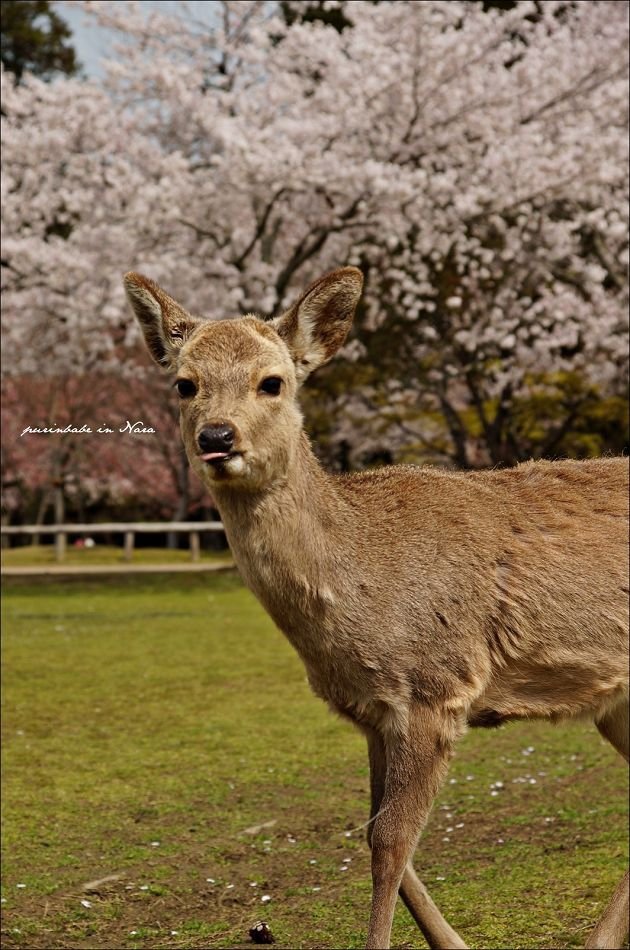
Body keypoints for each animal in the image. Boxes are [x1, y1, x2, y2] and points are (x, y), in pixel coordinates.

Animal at [124, 268, 630, 950]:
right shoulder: (370, 711)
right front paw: (456, 945)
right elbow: (373, 830)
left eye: (272, 381)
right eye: (185, 384)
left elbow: (390, 840)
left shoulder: (435, 687)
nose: (217, 438)